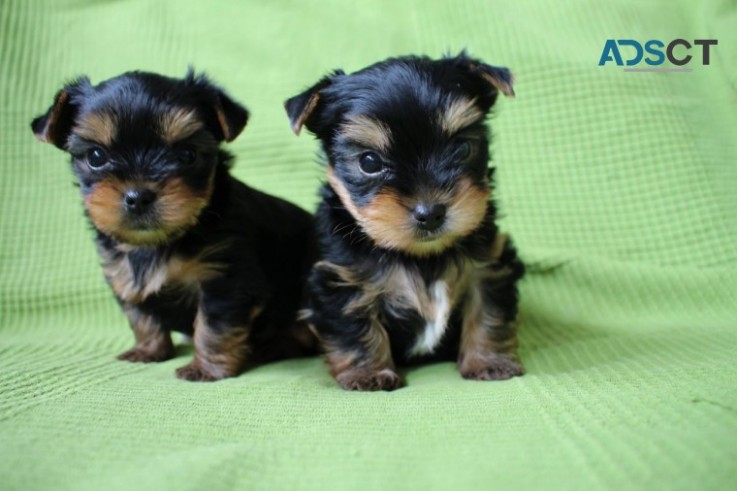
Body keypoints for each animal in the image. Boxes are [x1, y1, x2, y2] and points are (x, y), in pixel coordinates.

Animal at [284, 52, 528, 392]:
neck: (421, 256)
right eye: (369, 162)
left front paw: (489, 362)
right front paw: (368, 374)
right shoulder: (340, 280)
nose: (431, 212)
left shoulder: (489, 266)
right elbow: (354, 329)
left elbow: (488, 312)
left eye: (462, 149)